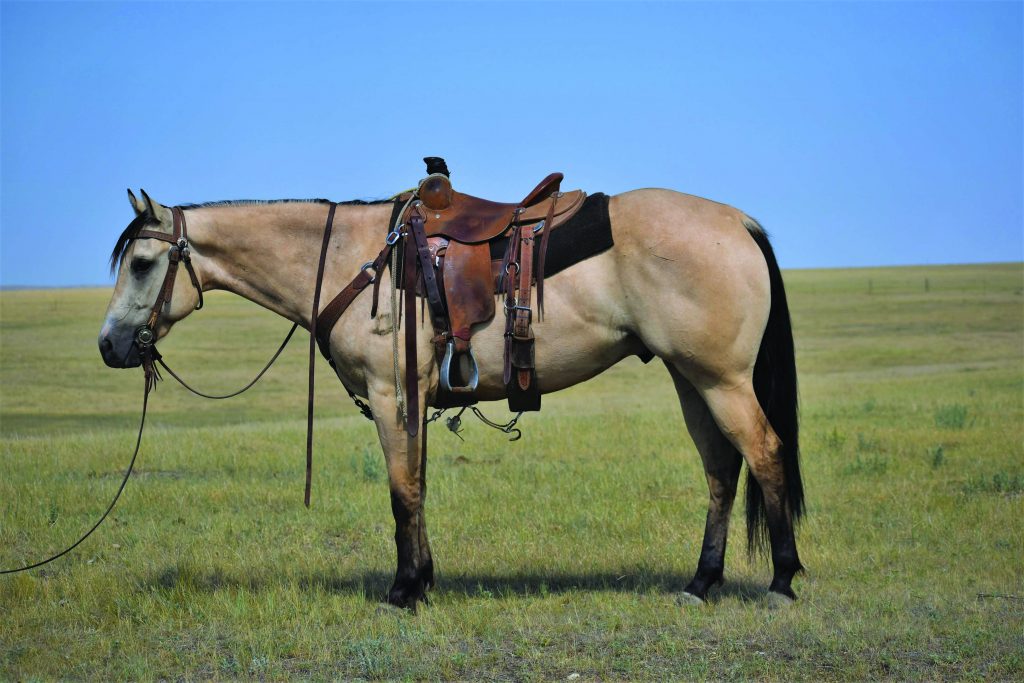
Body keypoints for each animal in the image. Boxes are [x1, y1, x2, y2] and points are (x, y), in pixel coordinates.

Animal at [98, 185, 805, 609]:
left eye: (141, 264)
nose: (109, 345)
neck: (357, 261)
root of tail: (736, 220)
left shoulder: (390, 394)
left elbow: (401, 491)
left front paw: (404, 590)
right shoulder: (412, 399)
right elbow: (418, 486)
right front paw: (425, 579)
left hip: (719, 379)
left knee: (765, 454)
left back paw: (781, 581)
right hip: (691, 378)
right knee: (721, 469)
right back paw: (702, 582)